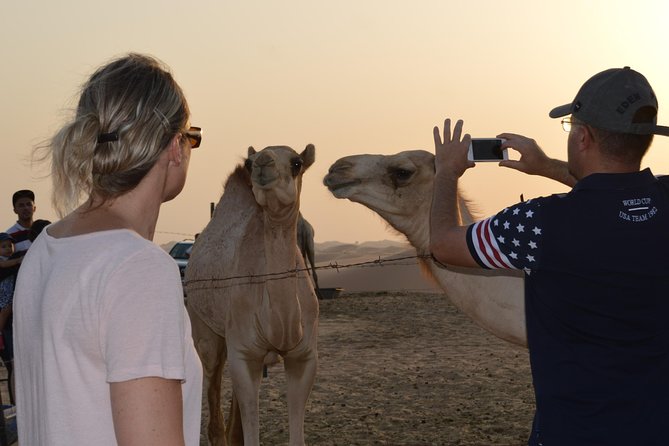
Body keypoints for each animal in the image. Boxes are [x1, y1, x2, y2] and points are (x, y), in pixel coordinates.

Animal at [184, 145, 318, 444]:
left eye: (296, 162)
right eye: (249, 162)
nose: (262, 163)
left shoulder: (303, 357)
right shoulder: (244, 353)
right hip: (204, 327)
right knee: (213, 388)